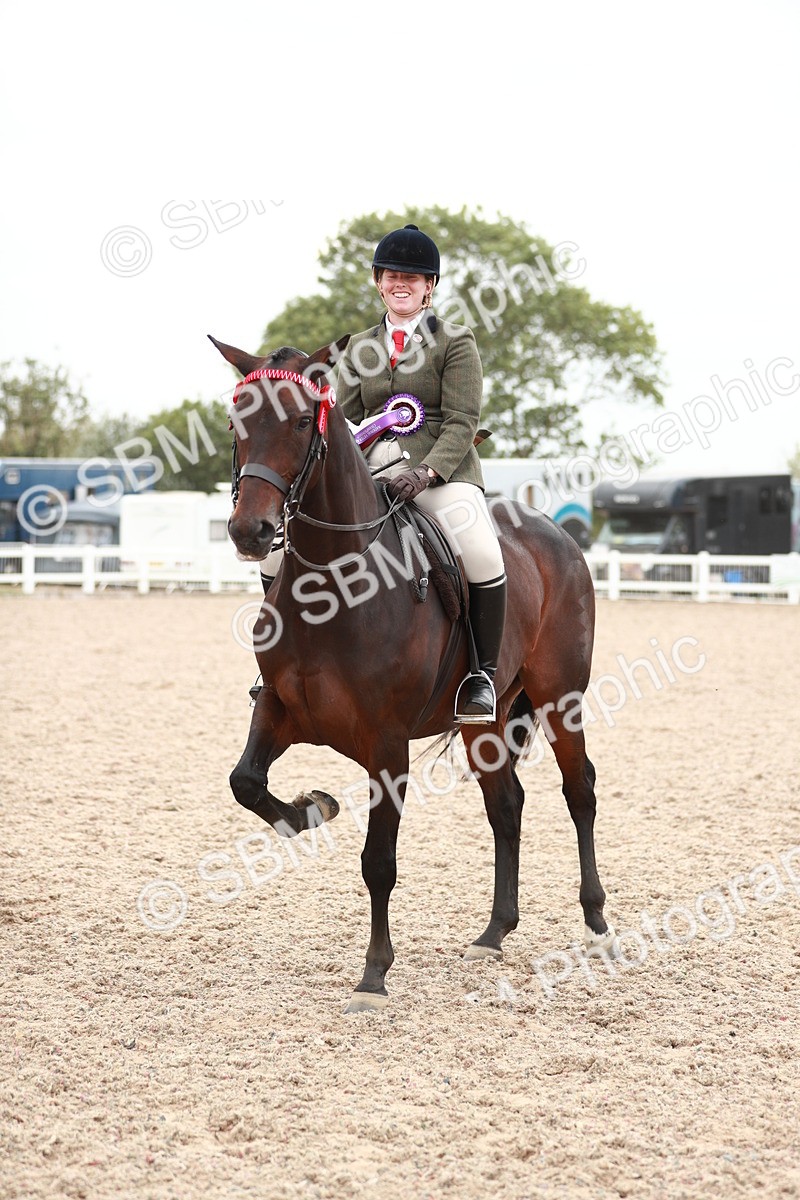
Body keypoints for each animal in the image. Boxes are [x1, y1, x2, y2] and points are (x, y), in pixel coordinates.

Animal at [210, 332, 617, 1012]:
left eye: (302, 422)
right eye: (236, 421)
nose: (251, 531)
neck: (332, 582)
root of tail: (556, 533)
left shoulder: (386, 743)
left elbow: (379, 861)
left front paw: (374, 976)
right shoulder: (280, 710)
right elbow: (245, 782)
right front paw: (313, 808)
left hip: (561, 696)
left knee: (578, 790)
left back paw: (597, 923)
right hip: (487, 720)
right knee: (506, 804)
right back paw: (494, 932)